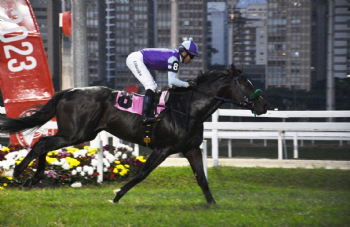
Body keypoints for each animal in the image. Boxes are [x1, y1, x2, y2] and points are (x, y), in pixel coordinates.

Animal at [0, 63, 268, 204]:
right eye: (246, 84)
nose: (263, 105)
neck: (188, 109)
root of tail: (69, 91)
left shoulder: (190, 148)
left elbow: (201, 178)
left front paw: (212, 205)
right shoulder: (163, 148)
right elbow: (141, 174)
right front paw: (117, 196)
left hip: (80, 134)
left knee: (43, 143)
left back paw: (33, 176)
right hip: (75, 133)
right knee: (42, 143)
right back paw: (20, 172)